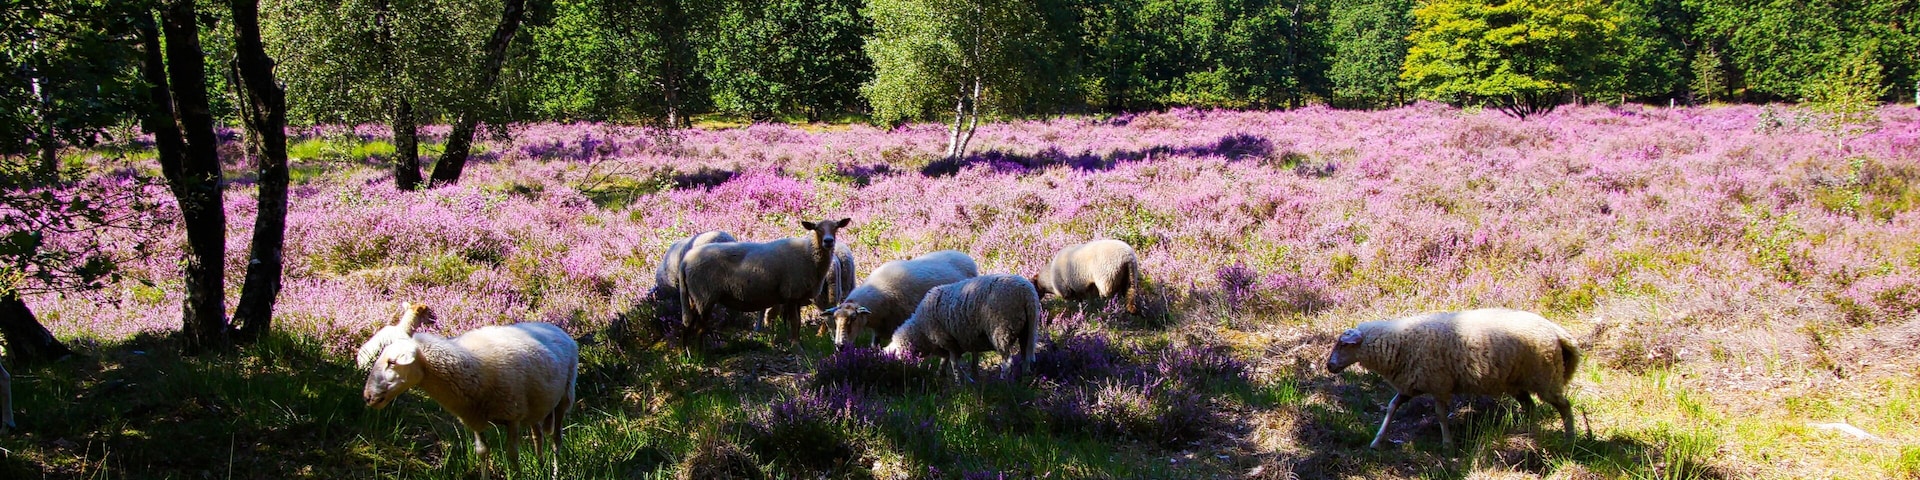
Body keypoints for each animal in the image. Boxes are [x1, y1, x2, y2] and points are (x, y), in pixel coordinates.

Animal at [360, 302, 579, 475]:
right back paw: (541, 465)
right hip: (537, 404)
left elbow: (512, 454)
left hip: (564, 398)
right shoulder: (474, 418)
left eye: (392, 362)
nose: (368, 396)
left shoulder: (513, 415)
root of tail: (554, 328)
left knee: (556, 439)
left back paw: (555, 472)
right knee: (537, 436)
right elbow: (482, 452)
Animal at [679, 218, 850, 348]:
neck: (809, 255)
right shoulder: (791, 293)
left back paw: (687, 352)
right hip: (704, 296)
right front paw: (796, 346)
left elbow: (797, 322)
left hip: (695, 296)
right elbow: (795, 322)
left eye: (836, 228)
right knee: (700, 327)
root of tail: (686, 260)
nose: (828, 241)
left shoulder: (795, 296)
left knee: (688, 323)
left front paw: (795, 343)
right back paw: (700, 352)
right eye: (817, 229)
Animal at [826, 250, 979, 351]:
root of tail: (964, 255)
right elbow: (874, 346)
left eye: (853, 318)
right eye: (835, 319)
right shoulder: (878, 329)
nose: (839, 345)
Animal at [882, 274, 1041, 382]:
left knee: (1007, 362)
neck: (920, 331)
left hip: (1001, 330)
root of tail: (1027, 293)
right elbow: (951, 361)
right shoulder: (968, 340)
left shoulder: (948, 341)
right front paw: (943, 375)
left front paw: (960, 382)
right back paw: (1025, 380)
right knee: (1026, 358)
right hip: (1027, 331)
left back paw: (1003, 381)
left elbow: (954, 364)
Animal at [1325, 308, 1581, 449]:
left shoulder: (1439, 384)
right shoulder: (1411, 384)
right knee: (1530, 407)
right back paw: (1531, 434)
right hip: (1517, 382)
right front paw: (1377, 441)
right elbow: (1391, 407)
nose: (1330, 366)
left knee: (1564, 405)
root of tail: (1557, 332)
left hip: (1545, 377)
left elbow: (1440, 414)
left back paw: (1570, 437)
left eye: (1342, 344)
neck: (1399, 342)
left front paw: (1447, 444)